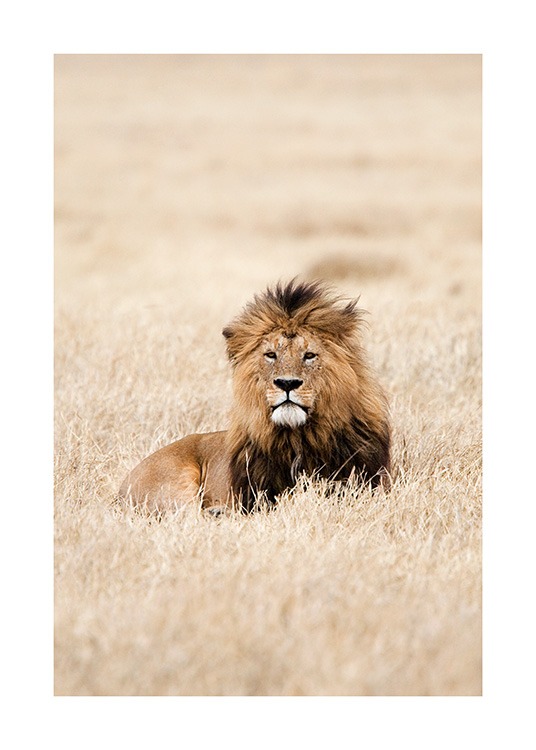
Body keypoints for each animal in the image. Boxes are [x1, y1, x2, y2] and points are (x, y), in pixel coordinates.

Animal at [119, 279, 390, 514]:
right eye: (270, 355)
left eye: (309, 355)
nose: (287, 383)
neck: (299, 438)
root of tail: (121, 488)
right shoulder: (256, 495)